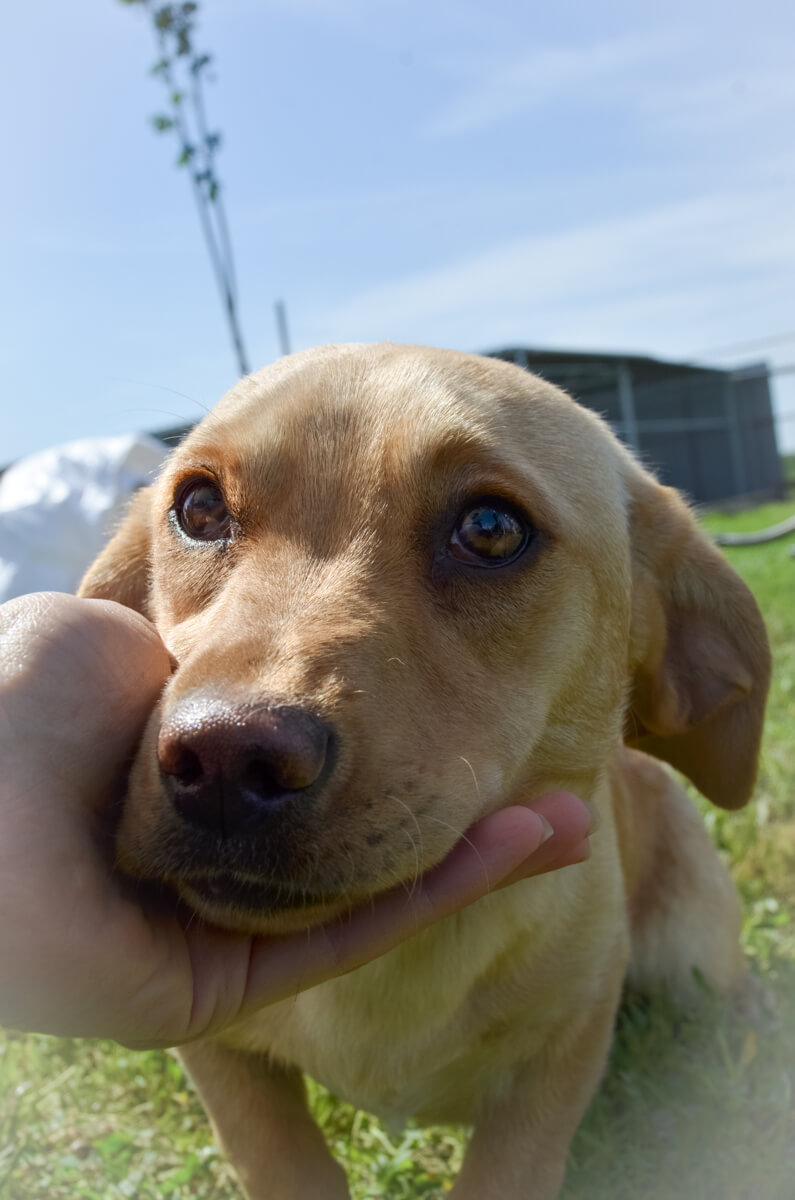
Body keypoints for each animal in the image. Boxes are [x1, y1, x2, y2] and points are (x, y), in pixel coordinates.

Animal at [79, 344, 770, 1199]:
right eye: (198, 507)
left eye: (490, 528)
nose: (222, 758)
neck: (400, 966)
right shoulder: (220, 1059)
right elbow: (280, 1157)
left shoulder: (561, 1051)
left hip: (691, 959)